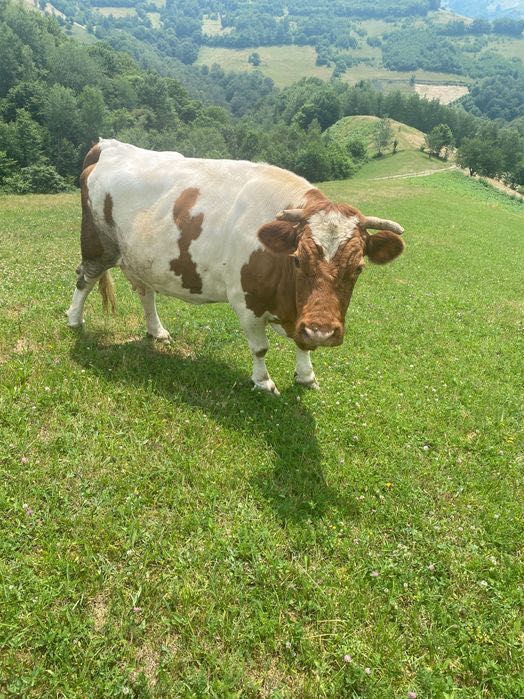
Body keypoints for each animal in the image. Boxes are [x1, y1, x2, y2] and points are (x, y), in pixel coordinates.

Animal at [67, 139, 405, 395]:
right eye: (297, 259)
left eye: (358, 268)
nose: (322, 331)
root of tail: (109, 146)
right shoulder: (246, 301)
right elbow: (260, 348)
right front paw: (263, 382)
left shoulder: (300, 312)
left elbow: (302, 344)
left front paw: (306, 375)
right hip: (97, 244)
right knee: (85, 278)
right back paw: (74, 320)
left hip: (139, 256)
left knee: (145, 293)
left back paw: (157, 331)